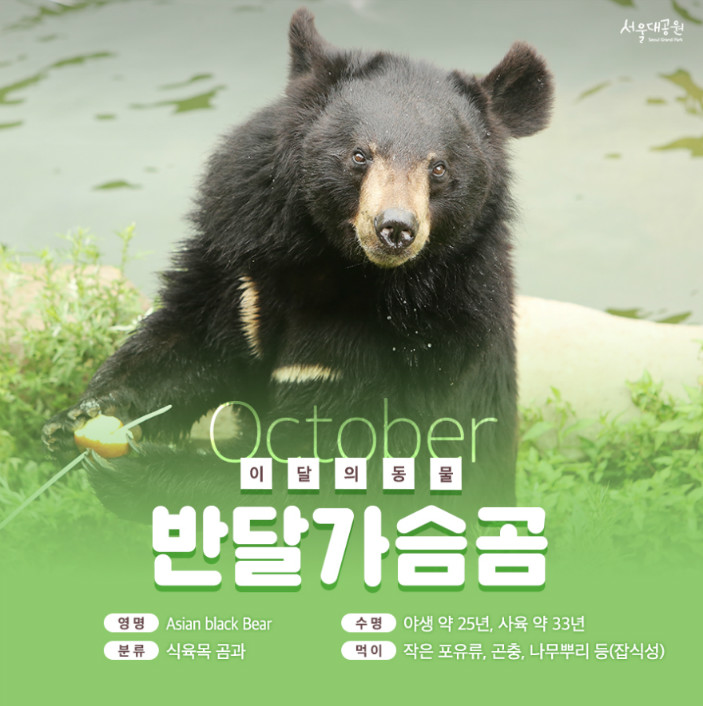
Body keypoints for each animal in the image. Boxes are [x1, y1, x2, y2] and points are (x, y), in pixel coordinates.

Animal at [42, 8, 553, 521]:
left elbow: (330, 463)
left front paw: (141, 472)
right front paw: (82, 416)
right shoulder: (244, 262)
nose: (394, 229)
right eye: (359, 155)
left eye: (439, 168)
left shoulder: (429, 344)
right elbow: (189, 343)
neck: (340, 269)